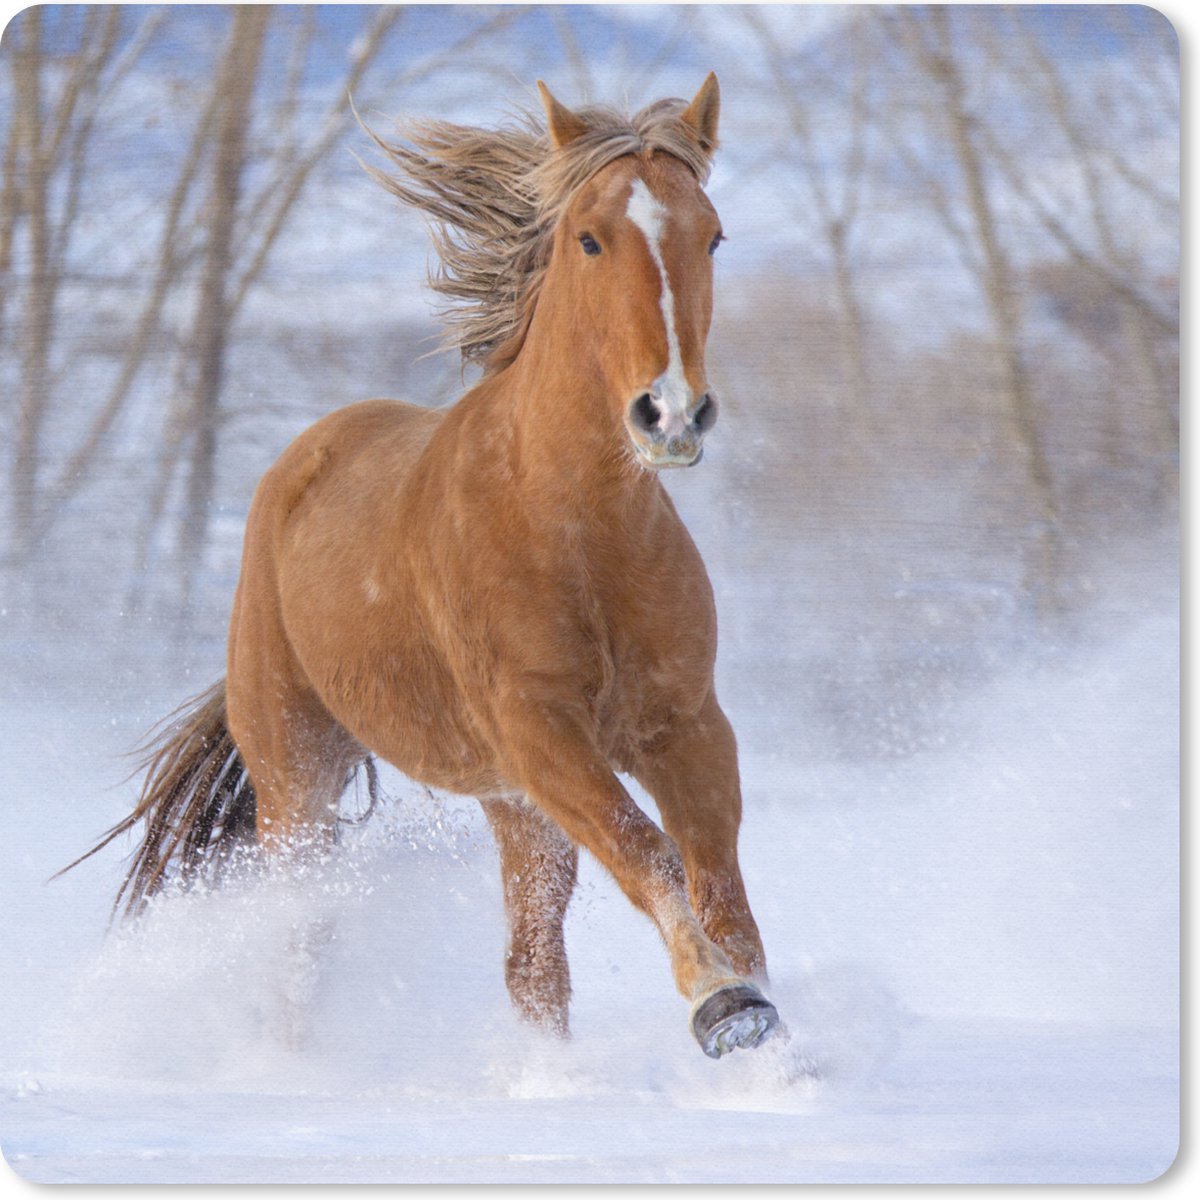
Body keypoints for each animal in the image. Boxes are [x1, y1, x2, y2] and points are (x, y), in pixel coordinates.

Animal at [69, 74, 780, 1059]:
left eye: (710, 234)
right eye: (590, 238)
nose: (670, 414)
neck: (576, 530)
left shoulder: (685, 727)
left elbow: (720, 887)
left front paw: (759, 1024)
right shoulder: (539, 729)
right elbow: (651, 853)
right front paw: (723, 1003)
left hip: (513, 807)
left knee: (532, 966)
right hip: (299, 776)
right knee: (299, 941)